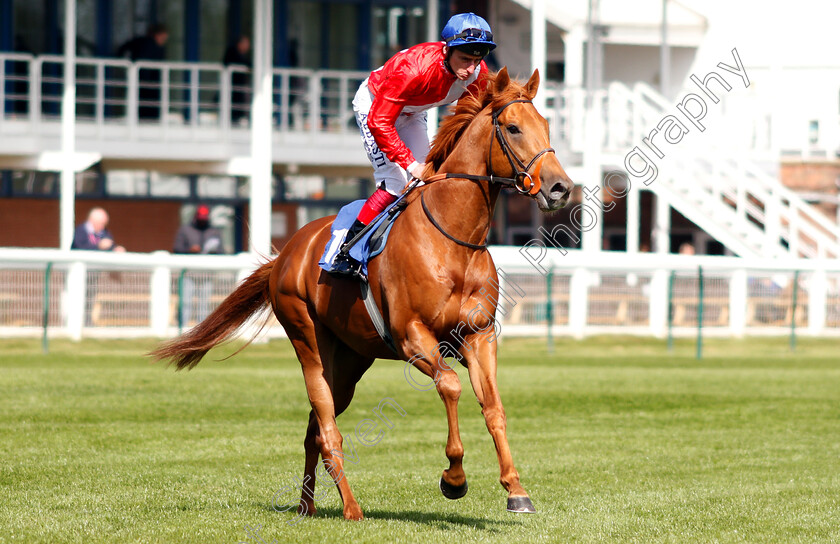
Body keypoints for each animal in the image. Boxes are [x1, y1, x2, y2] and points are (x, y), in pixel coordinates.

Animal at [151, 67, 576, 520]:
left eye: (546, 125)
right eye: (513, 128)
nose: (560, 188)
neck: (452, 240)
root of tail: (286, 253)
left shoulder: (478, 336)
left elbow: (493, 406)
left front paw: (516, 490)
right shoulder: (412, 337)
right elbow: (450, 386)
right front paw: (454, 478)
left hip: (351, 360)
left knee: (314, 430)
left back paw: (307, 505)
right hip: (310, 344)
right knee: (327, 427)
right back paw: (351, 508)